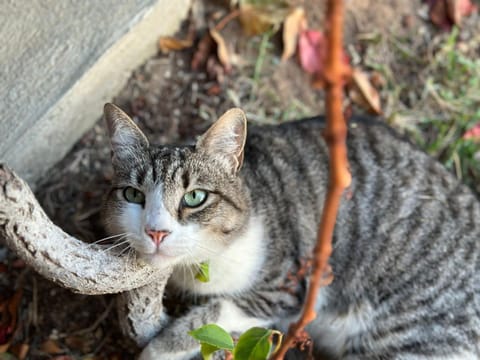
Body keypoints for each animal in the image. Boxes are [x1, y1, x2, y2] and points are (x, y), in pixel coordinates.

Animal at [103, 104, 478, 360]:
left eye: (195, 197)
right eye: (133, 195)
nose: (156, 232)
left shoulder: (287, 286)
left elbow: (215, 312)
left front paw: (160, 347)